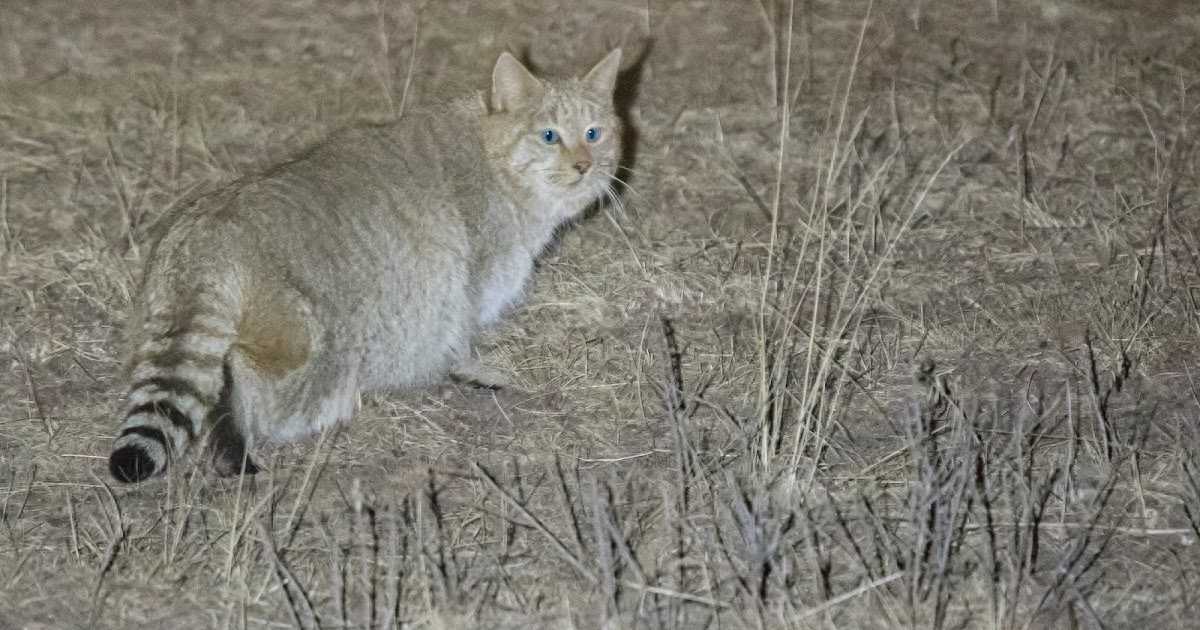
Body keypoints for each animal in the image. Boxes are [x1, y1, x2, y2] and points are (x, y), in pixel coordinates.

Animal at [106, 48, 624, 482]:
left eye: (594, 133)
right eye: (549, 136)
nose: (584, 165)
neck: (493, 151)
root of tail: (204, 234)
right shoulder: (468, 269)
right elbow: (457, 325)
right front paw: (464, 366)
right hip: (313, 344)